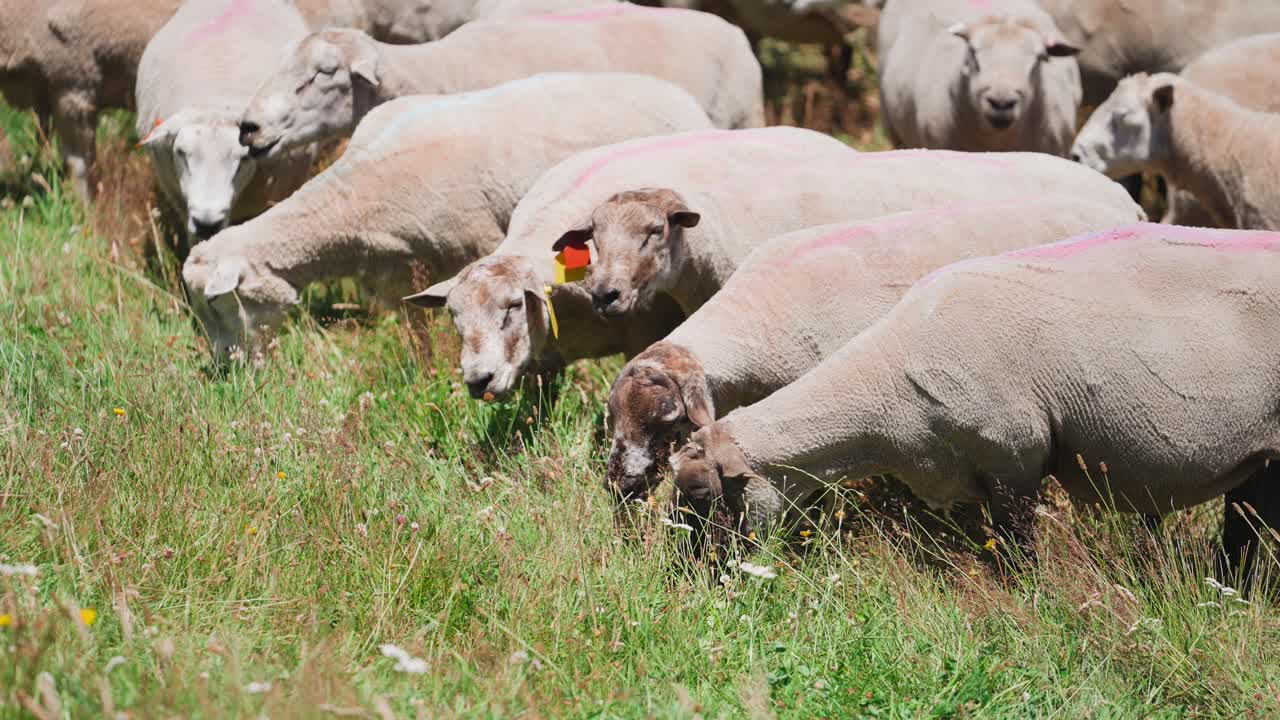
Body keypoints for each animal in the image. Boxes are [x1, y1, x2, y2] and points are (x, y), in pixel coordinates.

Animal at [182, 72, 712, 360]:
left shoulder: (475, 241)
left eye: (216, 303)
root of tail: (681, 97)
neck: (354, 198)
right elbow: (416, 333)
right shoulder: (399, 272)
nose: (226, 367)